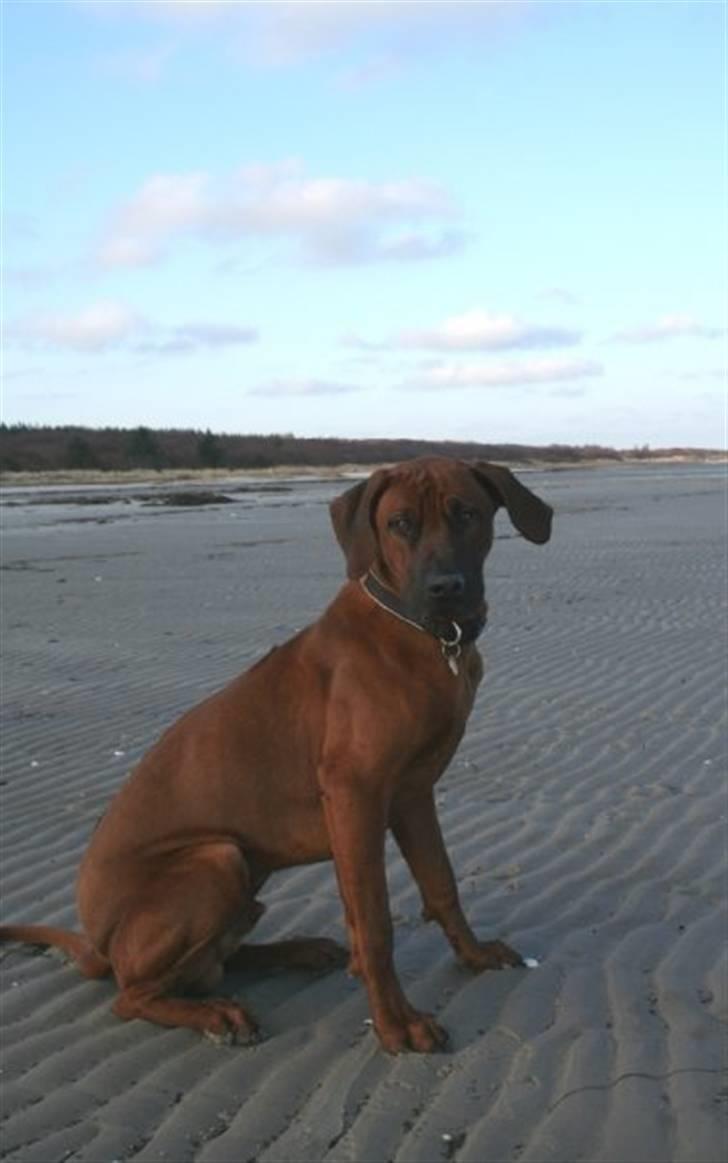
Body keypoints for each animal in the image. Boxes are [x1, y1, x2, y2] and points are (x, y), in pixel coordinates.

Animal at [0, 455, 548, 1056]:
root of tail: (98, 945)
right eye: (400, 523)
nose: (444, 587)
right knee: (134, 994)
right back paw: (215, 1012)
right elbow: (374, 923)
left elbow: (441, 884)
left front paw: (473, 956)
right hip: (217, 859)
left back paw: (297, 950)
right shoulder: (355, 797)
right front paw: (395, 1023)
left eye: (467, 513)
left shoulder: (412, 794)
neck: (421, 634)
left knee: (216, 960)